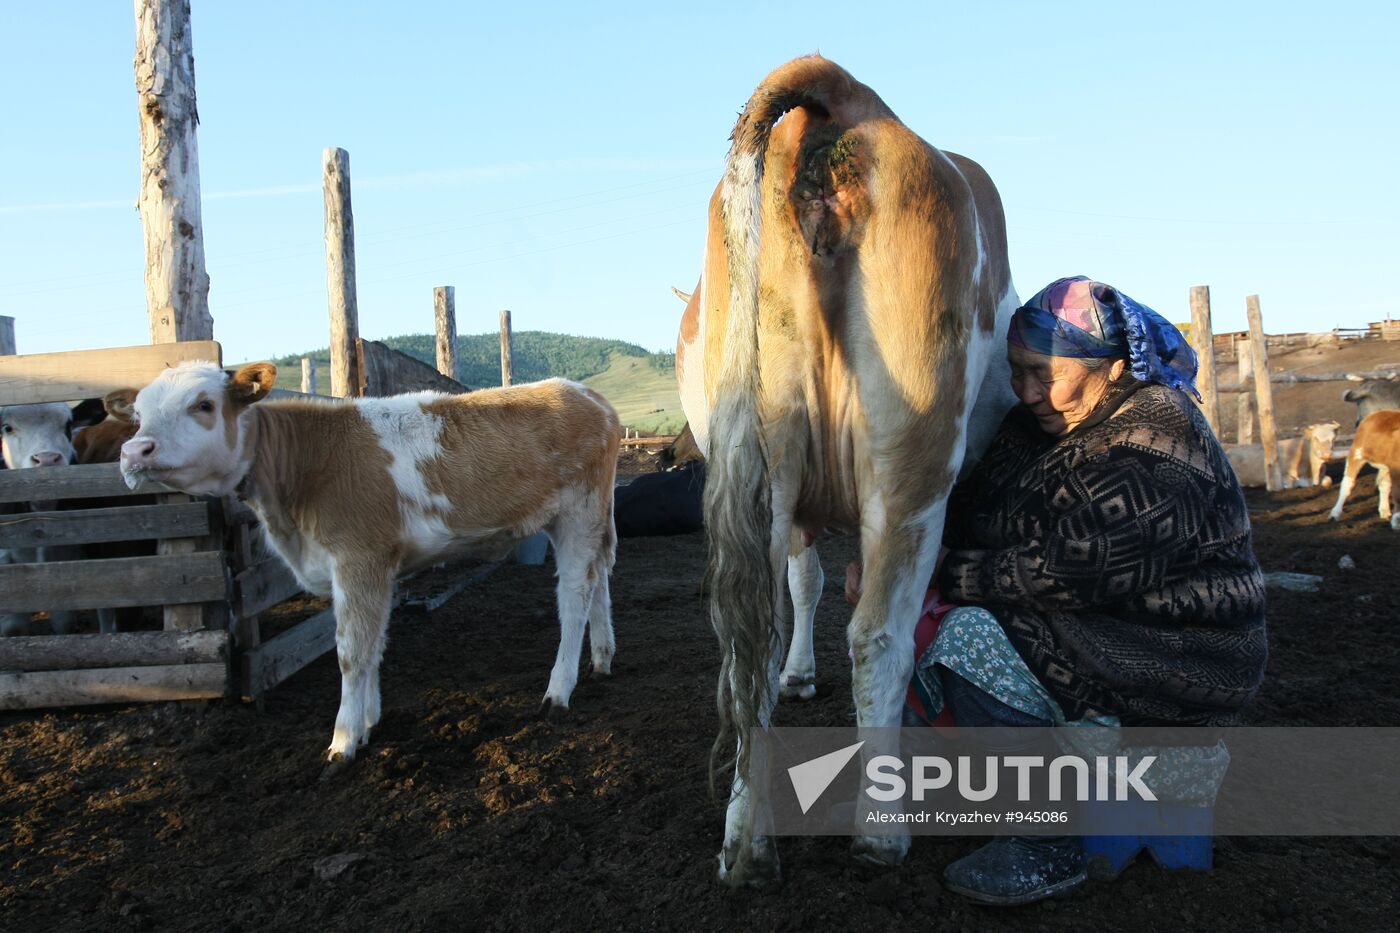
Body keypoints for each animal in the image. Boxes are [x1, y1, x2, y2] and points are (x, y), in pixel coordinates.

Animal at [117, 358, 621, 767]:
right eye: (138, 415)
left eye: (203, 404)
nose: (134, 451)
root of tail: (586, 393)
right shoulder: (373, 565)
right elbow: (375, 642)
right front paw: (369, 723)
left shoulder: (359, 559)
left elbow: (350, 652)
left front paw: (342, 742)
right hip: (582, 518)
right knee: (598, 578)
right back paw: (602, 658)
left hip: (579, 512)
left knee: (574, 596)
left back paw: (558, 691)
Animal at [683, 54, 1024, 885]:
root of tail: (844, 97)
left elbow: (800, 589)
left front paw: (799, 672)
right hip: (914, 458)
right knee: (878, 637)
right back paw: (882, 830)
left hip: (760, 448)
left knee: (749, 643)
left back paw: (745, 841)